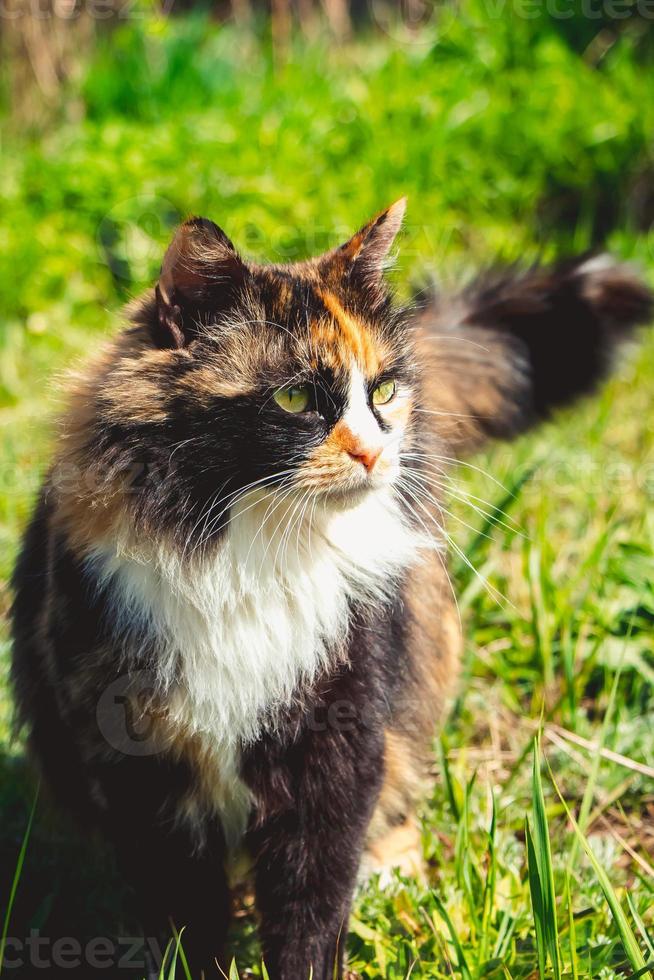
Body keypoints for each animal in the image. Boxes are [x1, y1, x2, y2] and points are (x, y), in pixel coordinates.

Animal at [11, 201, 654, 980]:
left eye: (382, 392)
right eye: (294, 398)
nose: (376, 453)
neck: (253, 562)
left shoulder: (337, 744)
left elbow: (312, 911)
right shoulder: (144, 766)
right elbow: (188, 920)